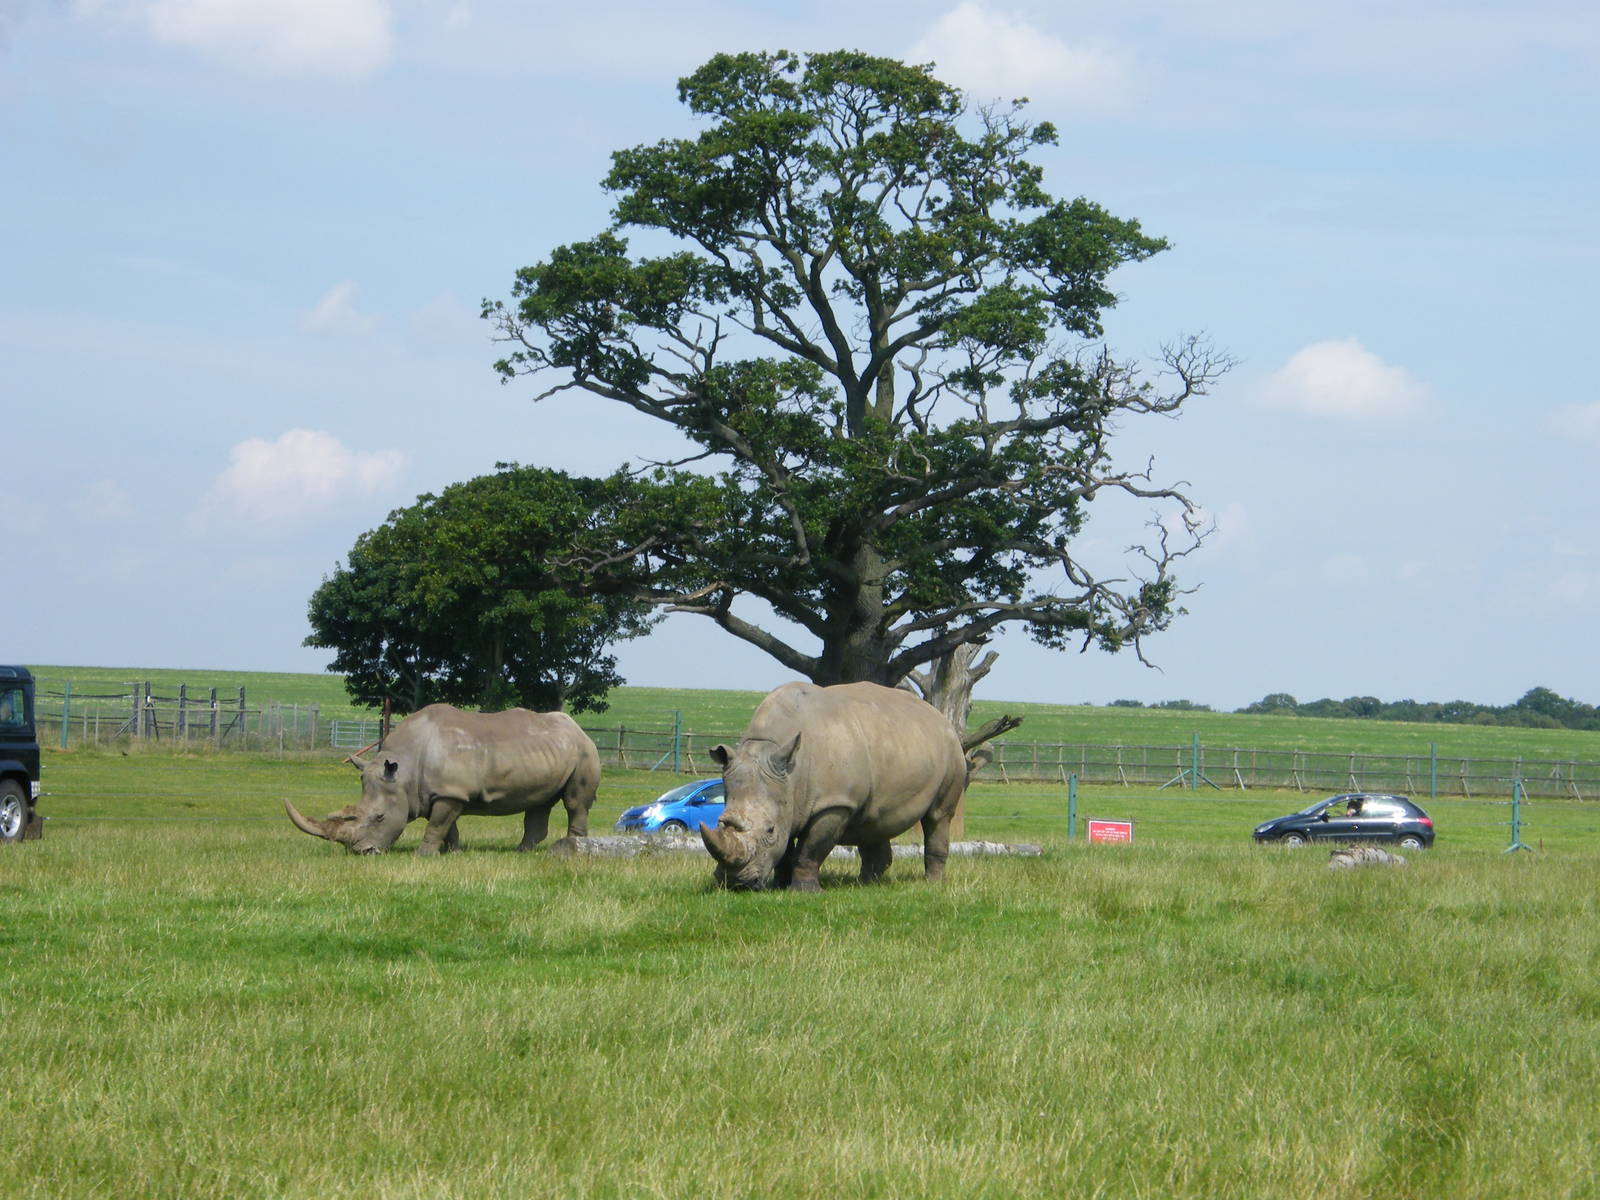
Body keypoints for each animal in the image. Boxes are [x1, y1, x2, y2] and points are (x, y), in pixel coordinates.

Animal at [284, 703, 599, 856]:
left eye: (380, 817)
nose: (364, 853)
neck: (404, 769)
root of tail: (578, 728)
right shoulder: (434, 793)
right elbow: (448, 827)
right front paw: (455, 853)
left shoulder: (450, 792)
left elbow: (437, 825)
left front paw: (422, 855)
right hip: (552, 751)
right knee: (539, 802)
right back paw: (522, 852)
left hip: (584, 751)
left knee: (575, 803)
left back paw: (573, 848)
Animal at [701, 681, 973, 892]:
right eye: (721, 822)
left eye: (769, 830)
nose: (735, 883)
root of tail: (938, 715)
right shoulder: (787, 798)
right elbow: (786, 846)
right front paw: (779, 886)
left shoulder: (834, 803)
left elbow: (810, 849)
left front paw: (804, 891)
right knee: (874, 820)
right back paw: (865, 884)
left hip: (951, 750)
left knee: (938, 816)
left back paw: (932, 884)